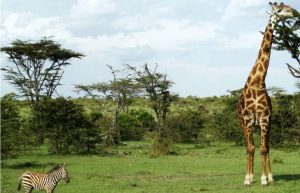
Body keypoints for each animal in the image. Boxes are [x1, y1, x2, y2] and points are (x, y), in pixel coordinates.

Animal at [238, 2, 296, 186]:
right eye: (280, 9)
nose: (295, 12)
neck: (258, 82)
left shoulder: (265, 118)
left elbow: (264, 148)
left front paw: (264, 178)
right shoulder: (248, 119)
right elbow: (251, 148)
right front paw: (248, 179)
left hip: (265, 124)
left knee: (266, 147)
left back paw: (269, 176)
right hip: (243, 123)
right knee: (249, 148)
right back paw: (249, 176)